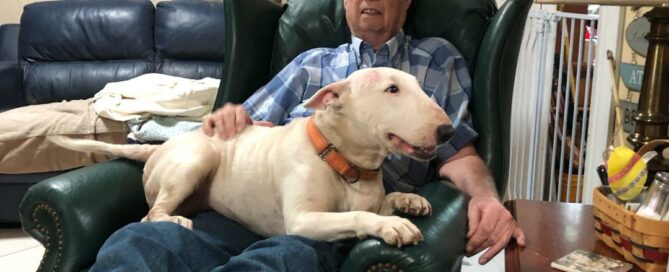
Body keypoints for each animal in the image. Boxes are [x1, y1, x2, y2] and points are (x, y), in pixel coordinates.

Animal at [49, 67, 452, 248]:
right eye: (392, 89)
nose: (448, 131)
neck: (342, 160)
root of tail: (159, 146)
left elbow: (383, 202)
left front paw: (409, 201)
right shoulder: (304, 221)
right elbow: (358, 215)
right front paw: (393, 225)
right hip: (196, 159)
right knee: (151, 214)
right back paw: (174, 221)